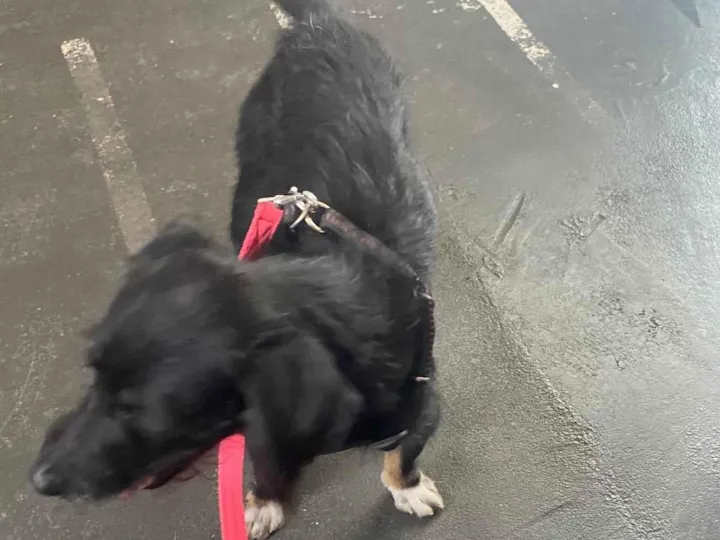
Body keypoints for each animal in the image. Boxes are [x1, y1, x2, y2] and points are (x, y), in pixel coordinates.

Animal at [30, 1, 442, 538]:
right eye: (93, 374)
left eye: (146, 415)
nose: (39, 479)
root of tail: (320, 24)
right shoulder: (266, 430)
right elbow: (268, 462)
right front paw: (264, 502)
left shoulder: (425, 403)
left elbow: (405, 452)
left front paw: (406, 487)